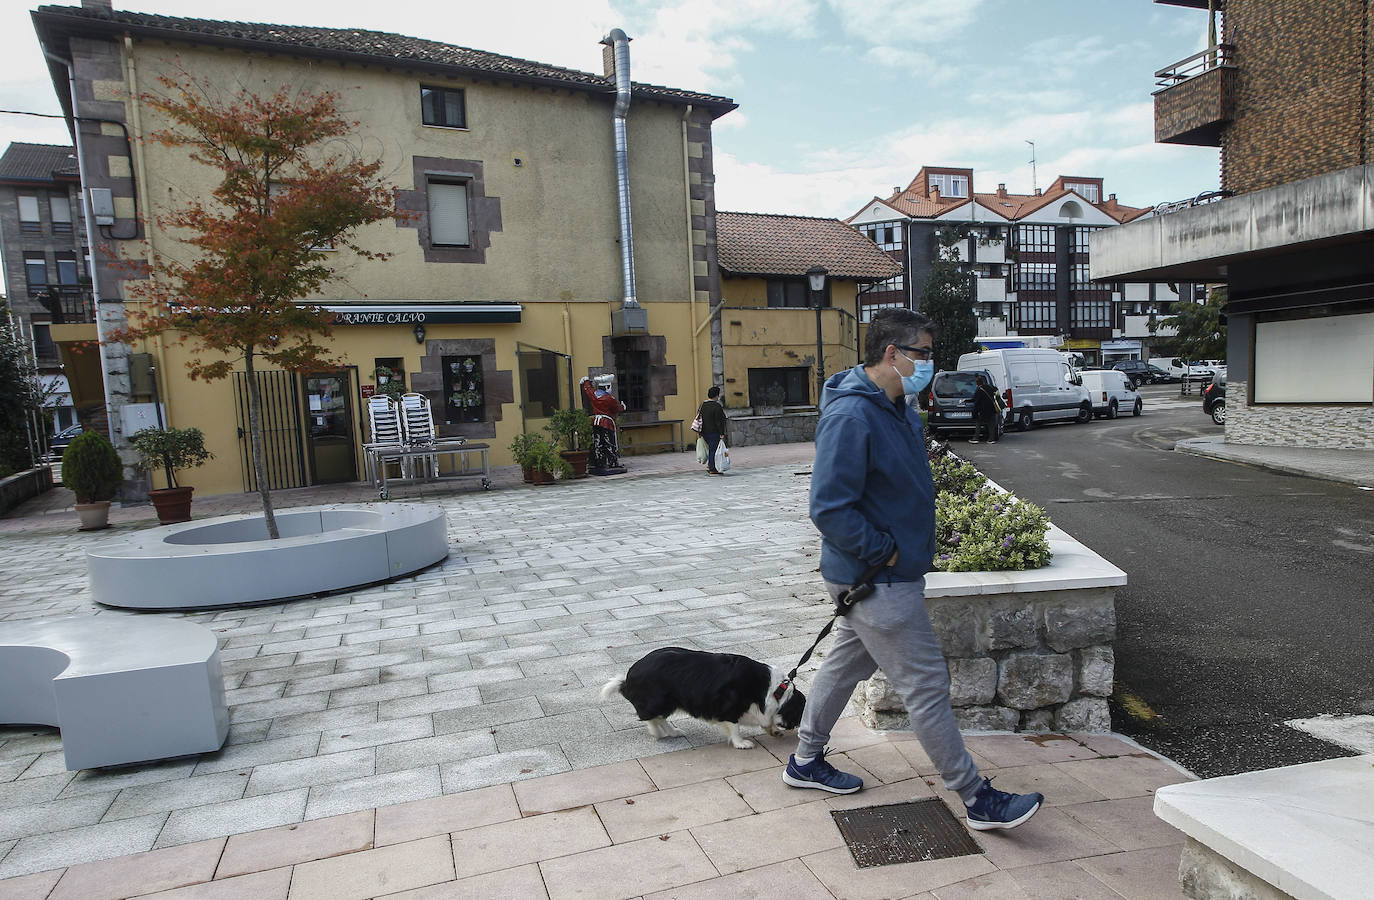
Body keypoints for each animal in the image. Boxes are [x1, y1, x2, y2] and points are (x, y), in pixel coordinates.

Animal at [601, 643, 802, 747]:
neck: (775, 690)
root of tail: (628, 679)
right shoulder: (729, 708)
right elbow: (735, 727)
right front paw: (741, 743)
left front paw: (773, 730)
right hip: (660, 700)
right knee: (652, 718)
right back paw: (657, 733)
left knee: (660, 718)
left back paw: (673, 732)